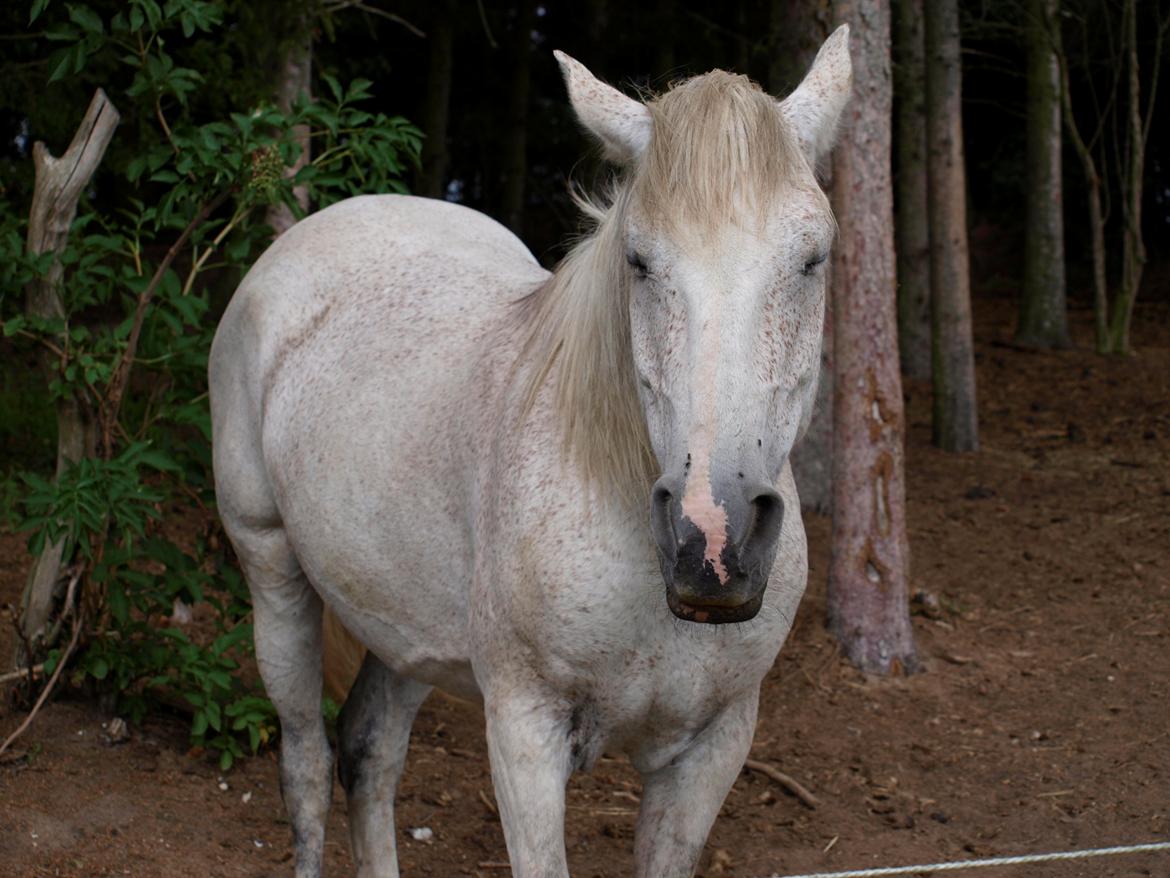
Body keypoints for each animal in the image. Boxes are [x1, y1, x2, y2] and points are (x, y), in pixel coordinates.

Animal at [208, 29, 851, 878]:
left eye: (813, 259)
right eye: (639, 260)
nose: (715, 540)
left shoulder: (712, 750)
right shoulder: (523, 734)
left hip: (406, 628)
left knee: (369, 752)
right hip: (273, 575)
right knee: (307, 765)